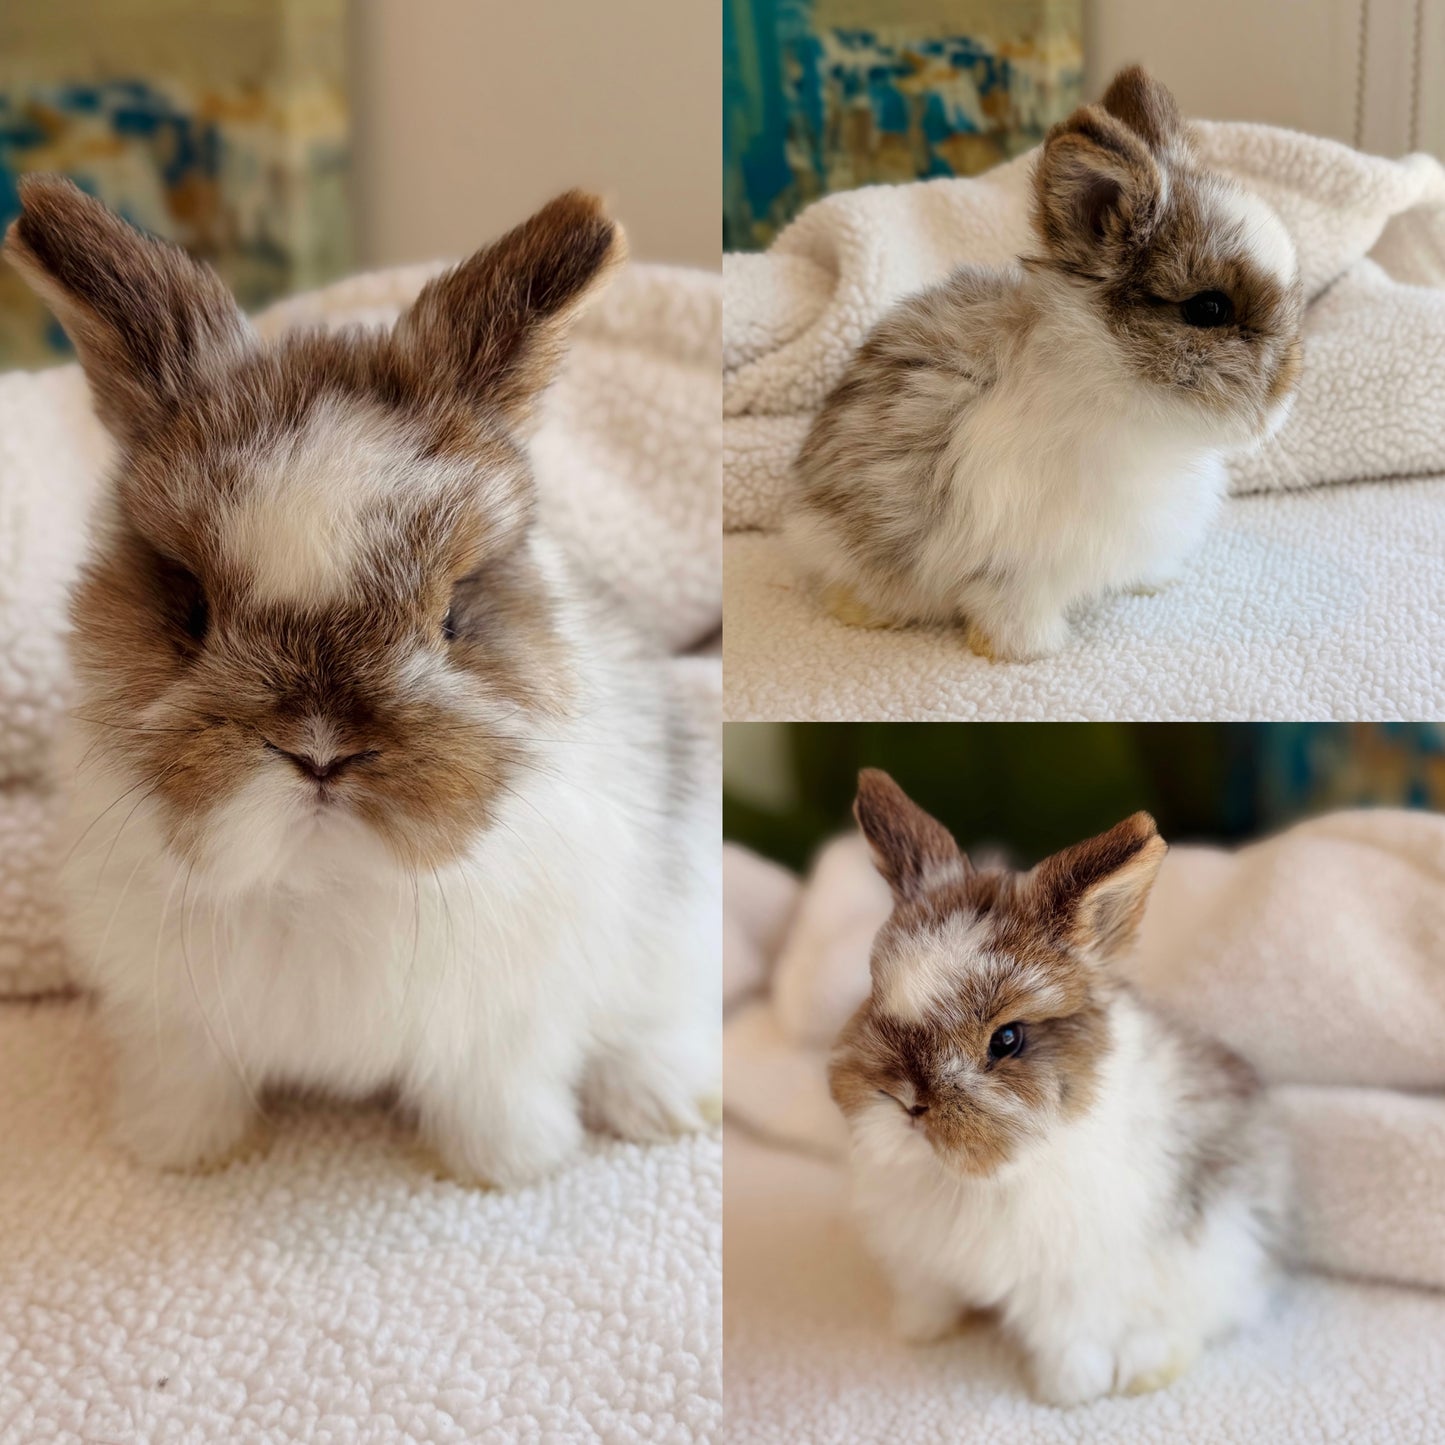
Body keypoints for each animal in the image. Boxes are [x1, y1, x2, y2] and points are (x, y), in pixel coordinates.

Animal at [5, 175, 719, 1187]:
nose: (318, 751)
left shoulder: (506, 1023)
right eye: (191, 609)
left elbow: (495, 1091)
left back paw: (664, 1102)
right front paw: (182, 1152)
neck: (322, 880)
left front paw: (506, 1167)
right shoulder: (173, 1023)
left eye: (453, 614)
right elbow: (188, 1083)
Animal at [785, 66, 1304, 661]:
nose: (1287, 387)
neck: (1116, 384)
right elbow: (1010, 606)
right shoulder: (1013, 559)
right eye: (1209, 308)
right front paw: (1027, 652)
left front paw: (1154, 582)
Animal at [828, 770, 1287, 1406]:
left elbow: (1069, 1336)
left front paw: (1067, 1391)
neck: (969, 1181)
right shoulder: (924, 1257)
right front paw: (918, 1331)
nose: (909, 1105)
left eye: (1008, 1038)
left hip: (1219, 1252)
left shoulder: (1074, 1284)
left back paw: (1144, 1370)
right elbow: (930, 1294)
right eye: (874, 995)